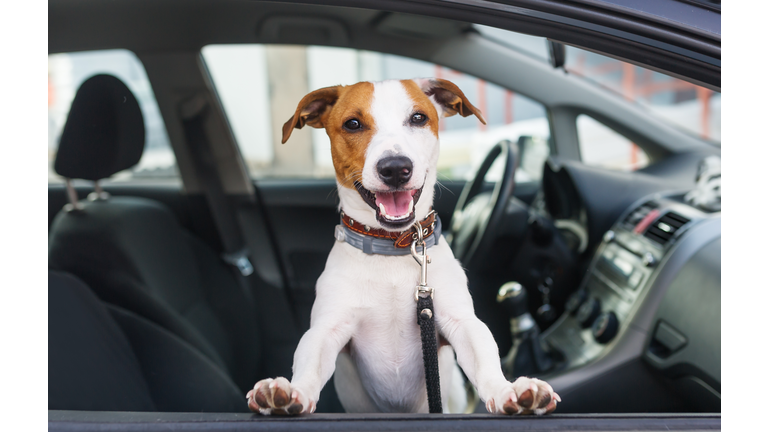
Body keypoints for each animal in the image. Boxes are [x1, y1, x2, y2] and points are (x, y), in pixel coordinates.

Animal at [246, 77, 560, 416]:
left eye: (418, 118)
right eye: (353, 124)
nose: (395, 167)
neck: (392, 247)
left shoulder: (460, 322)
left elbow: (484, 356)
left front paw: (508, 390)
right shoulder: (327, 329)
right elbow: (309, 362)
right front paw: (291, 393)